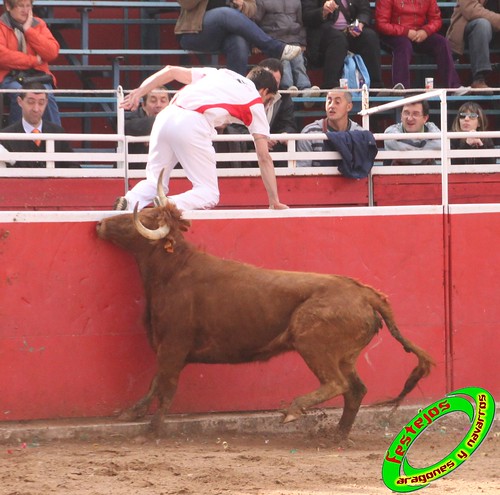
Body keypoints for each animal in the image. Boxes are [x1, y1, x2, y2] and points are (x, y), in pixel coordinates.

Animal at [96, 200, 434, 444]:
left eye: (143, 218)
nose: (100, 224)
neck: (173, 271)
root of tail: (365, 293)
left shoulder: (174, 346)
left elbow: (165, 386)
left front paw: (150, 432)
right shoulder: (166, 346)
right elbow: (155, 382)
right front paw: (130, 413)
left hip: (311, 343)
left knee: (337, 384)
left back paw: (292, 411)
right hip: (345, 355)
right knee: (356, 390)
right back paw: (337, 435)